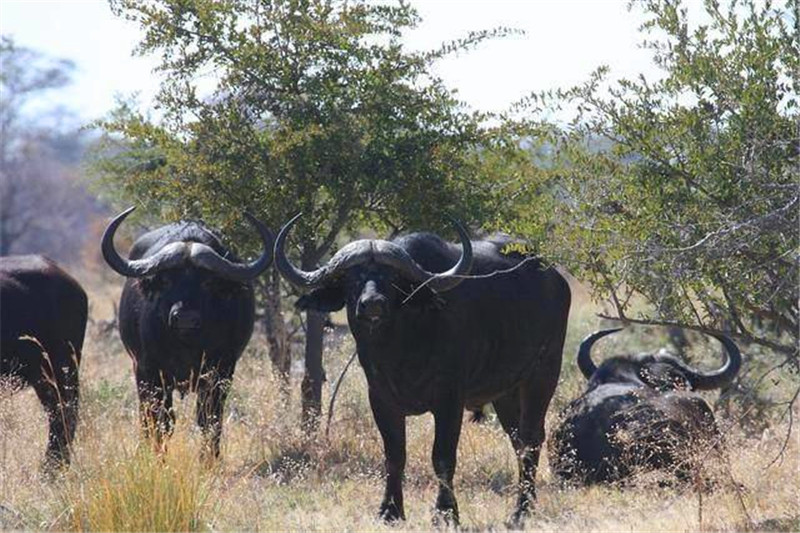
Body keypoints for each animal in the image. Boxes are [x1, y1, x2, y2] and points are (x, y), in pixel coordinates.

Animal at [103, 208, 274, 458]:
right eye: (166, 280)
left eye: (207, 282)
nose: (185, 318)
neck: (185, 345)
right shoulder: (148, 371)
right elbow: (161, 421)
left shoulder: (221, 372)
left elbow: (209, 420)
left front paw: (209, 459)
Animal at [278, 215, 572, 524]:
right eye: (352, 278)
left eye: (391, 278)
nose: (373, 305)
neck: (399, 348)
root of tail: (556, 280)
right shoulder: (381, 399)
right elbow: (394, 454)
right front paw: (390, 510)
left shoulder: (449, 400)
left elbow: (442, 456)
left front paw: (446, 512)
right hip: (505, 392)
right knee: (518, 440)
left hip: (542, 375)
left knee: (531, 438)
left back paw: (520, 511)